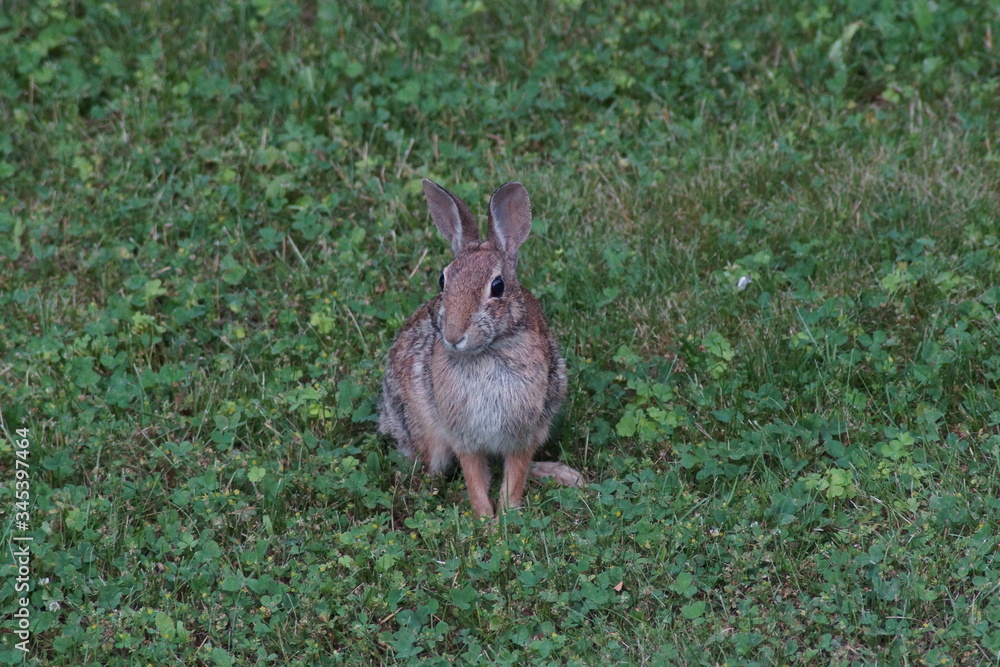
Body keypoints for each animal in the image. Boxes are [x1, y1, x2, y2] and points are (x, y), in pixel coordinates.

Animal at [379, 179, 584, 517]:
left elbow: (515, 472)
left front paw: (507, 514)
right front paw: (485, 517)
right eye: (442, 280)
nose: (452, 335)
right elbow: (474, 475)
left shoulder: (524, 431)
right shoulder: (463, 434)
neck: (486, 351)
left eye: (497, 287)